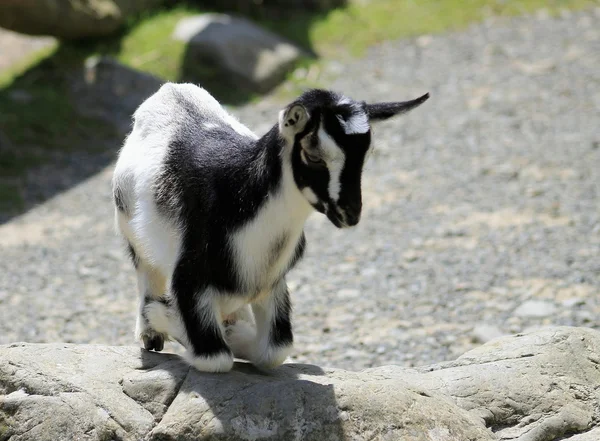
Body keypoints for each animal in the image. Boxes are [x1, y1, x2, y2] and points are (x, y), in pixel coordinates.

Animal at [112, 83, 428, 372]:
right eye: (314, 156)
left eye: (365, 155)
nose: (350, 213)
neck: (239, 196)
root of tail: (171, 89)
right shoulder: (189, 278)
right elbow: (215, 357)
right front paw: (160, 315)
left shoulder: (272, 281)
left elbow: (275, 351)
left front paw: (236, 333)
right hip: (129, 227)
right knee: (146, 271)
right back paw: (151, 331)